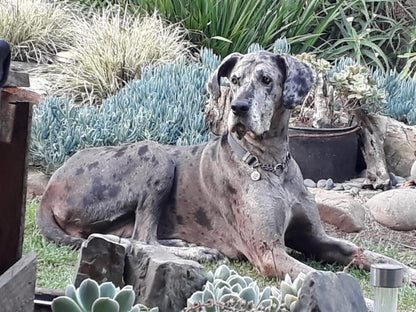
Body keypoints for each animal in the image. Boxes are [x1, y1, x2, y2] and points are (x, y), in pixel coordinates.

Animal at [37, 50, 414, 282]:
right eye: (234, 80)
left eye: (266, 80)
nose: (238, 107)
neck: (270, 165)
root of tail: (48, 191)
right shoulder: (268, 251)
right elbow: (315, 275)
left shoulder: (317, 239)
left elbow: (368, 254)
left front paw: (404, 271)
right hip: (156, 155)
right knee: (143, 237)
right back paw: (198, 254)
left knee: (137, 237)